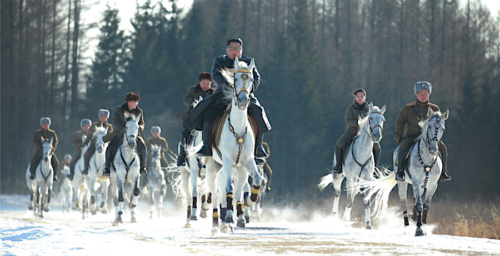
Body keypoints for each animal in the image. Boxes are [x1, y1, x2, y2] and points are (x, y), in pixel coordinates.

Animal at [205, 58, 264, 234]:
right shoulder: (227, 161)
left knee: (238, 191)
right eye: (236, 78)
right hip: (213, 168)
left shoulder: (247, 161)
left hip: (240, 168)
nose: (244, 100)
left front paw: (249, 202)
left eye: (250, 78)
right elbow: (228, 188)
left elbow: (257, 179)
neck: (237, 128)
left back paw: (239, 216)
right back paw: (217, 222)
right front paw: (229, 218)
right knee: (216, 194)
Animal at [362, 108, 448, 236]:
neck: (427, 159)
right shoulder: (416, 183)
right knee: (404, 203)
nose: (433, 149)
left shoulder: (433, 185)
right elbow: (419, 205)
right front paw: (419, 229)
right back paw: (407, 225)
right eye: (430, 127)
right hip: (402, 183)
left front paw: (424, 226)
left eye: (442, 128)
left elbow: (426, 206)